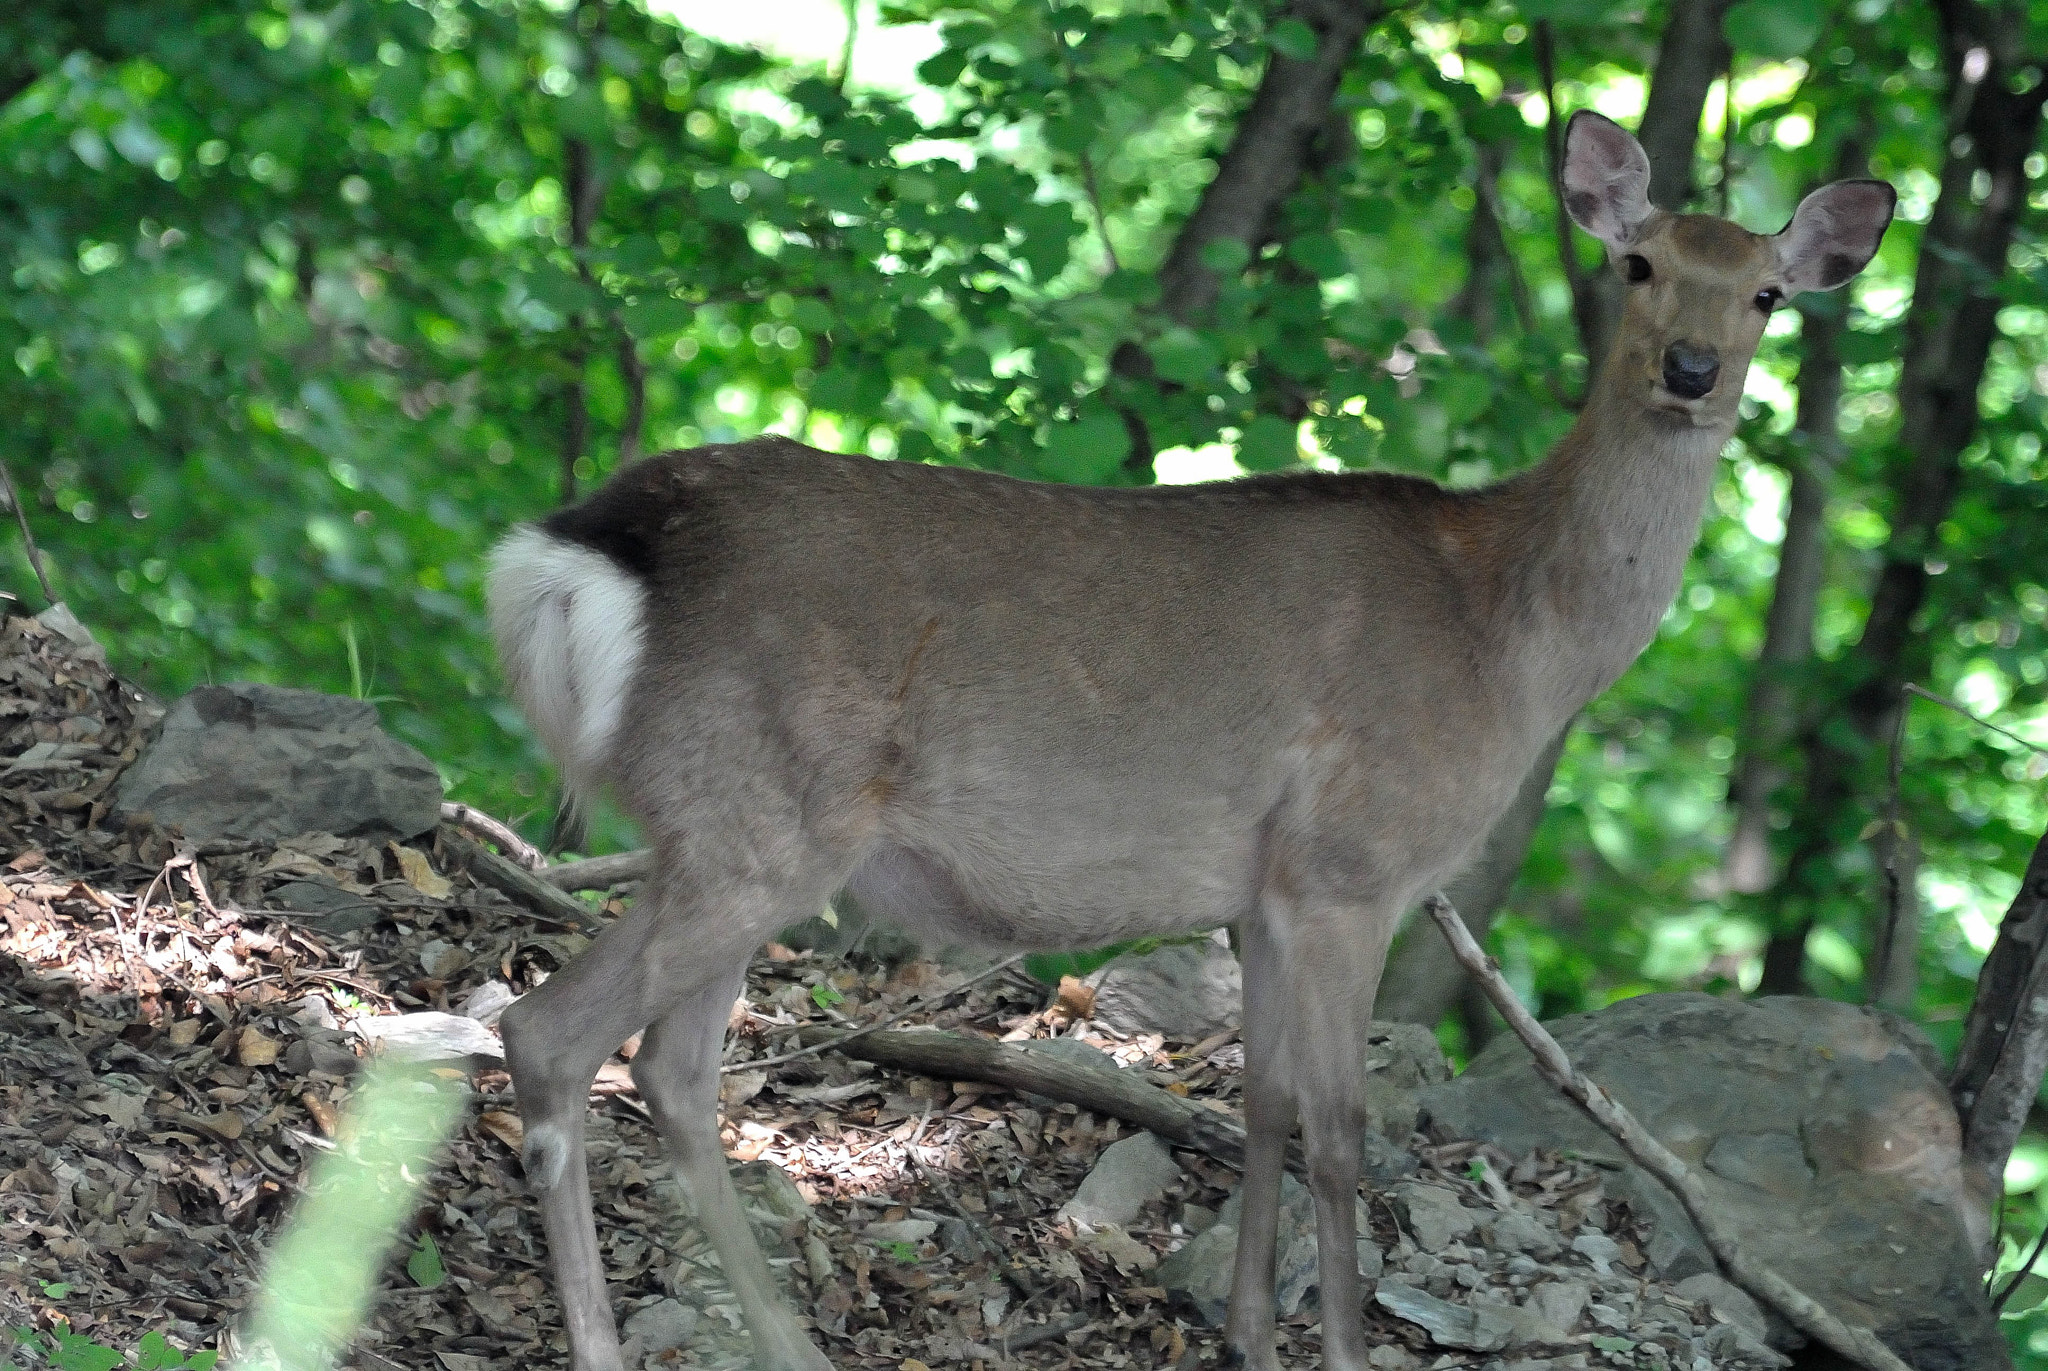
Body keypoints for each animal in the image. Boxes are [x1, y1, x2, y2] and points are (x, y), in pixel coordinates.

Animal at [479, 112, 1884, 1368]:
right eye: (1637, 264)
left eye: (1764, 294)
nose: (1691, 370)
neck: (1507, 639)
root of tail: (580, 551)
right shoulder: (1347, 867)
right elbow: (1339, 1132)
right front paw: (1338, 1350)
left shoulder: (1257, 893)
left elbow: (1257, 1106)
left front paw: (1250, 1336)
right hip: (755, 816)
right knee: (554, 1034)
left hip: (723, 829)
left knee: (673, 1071)